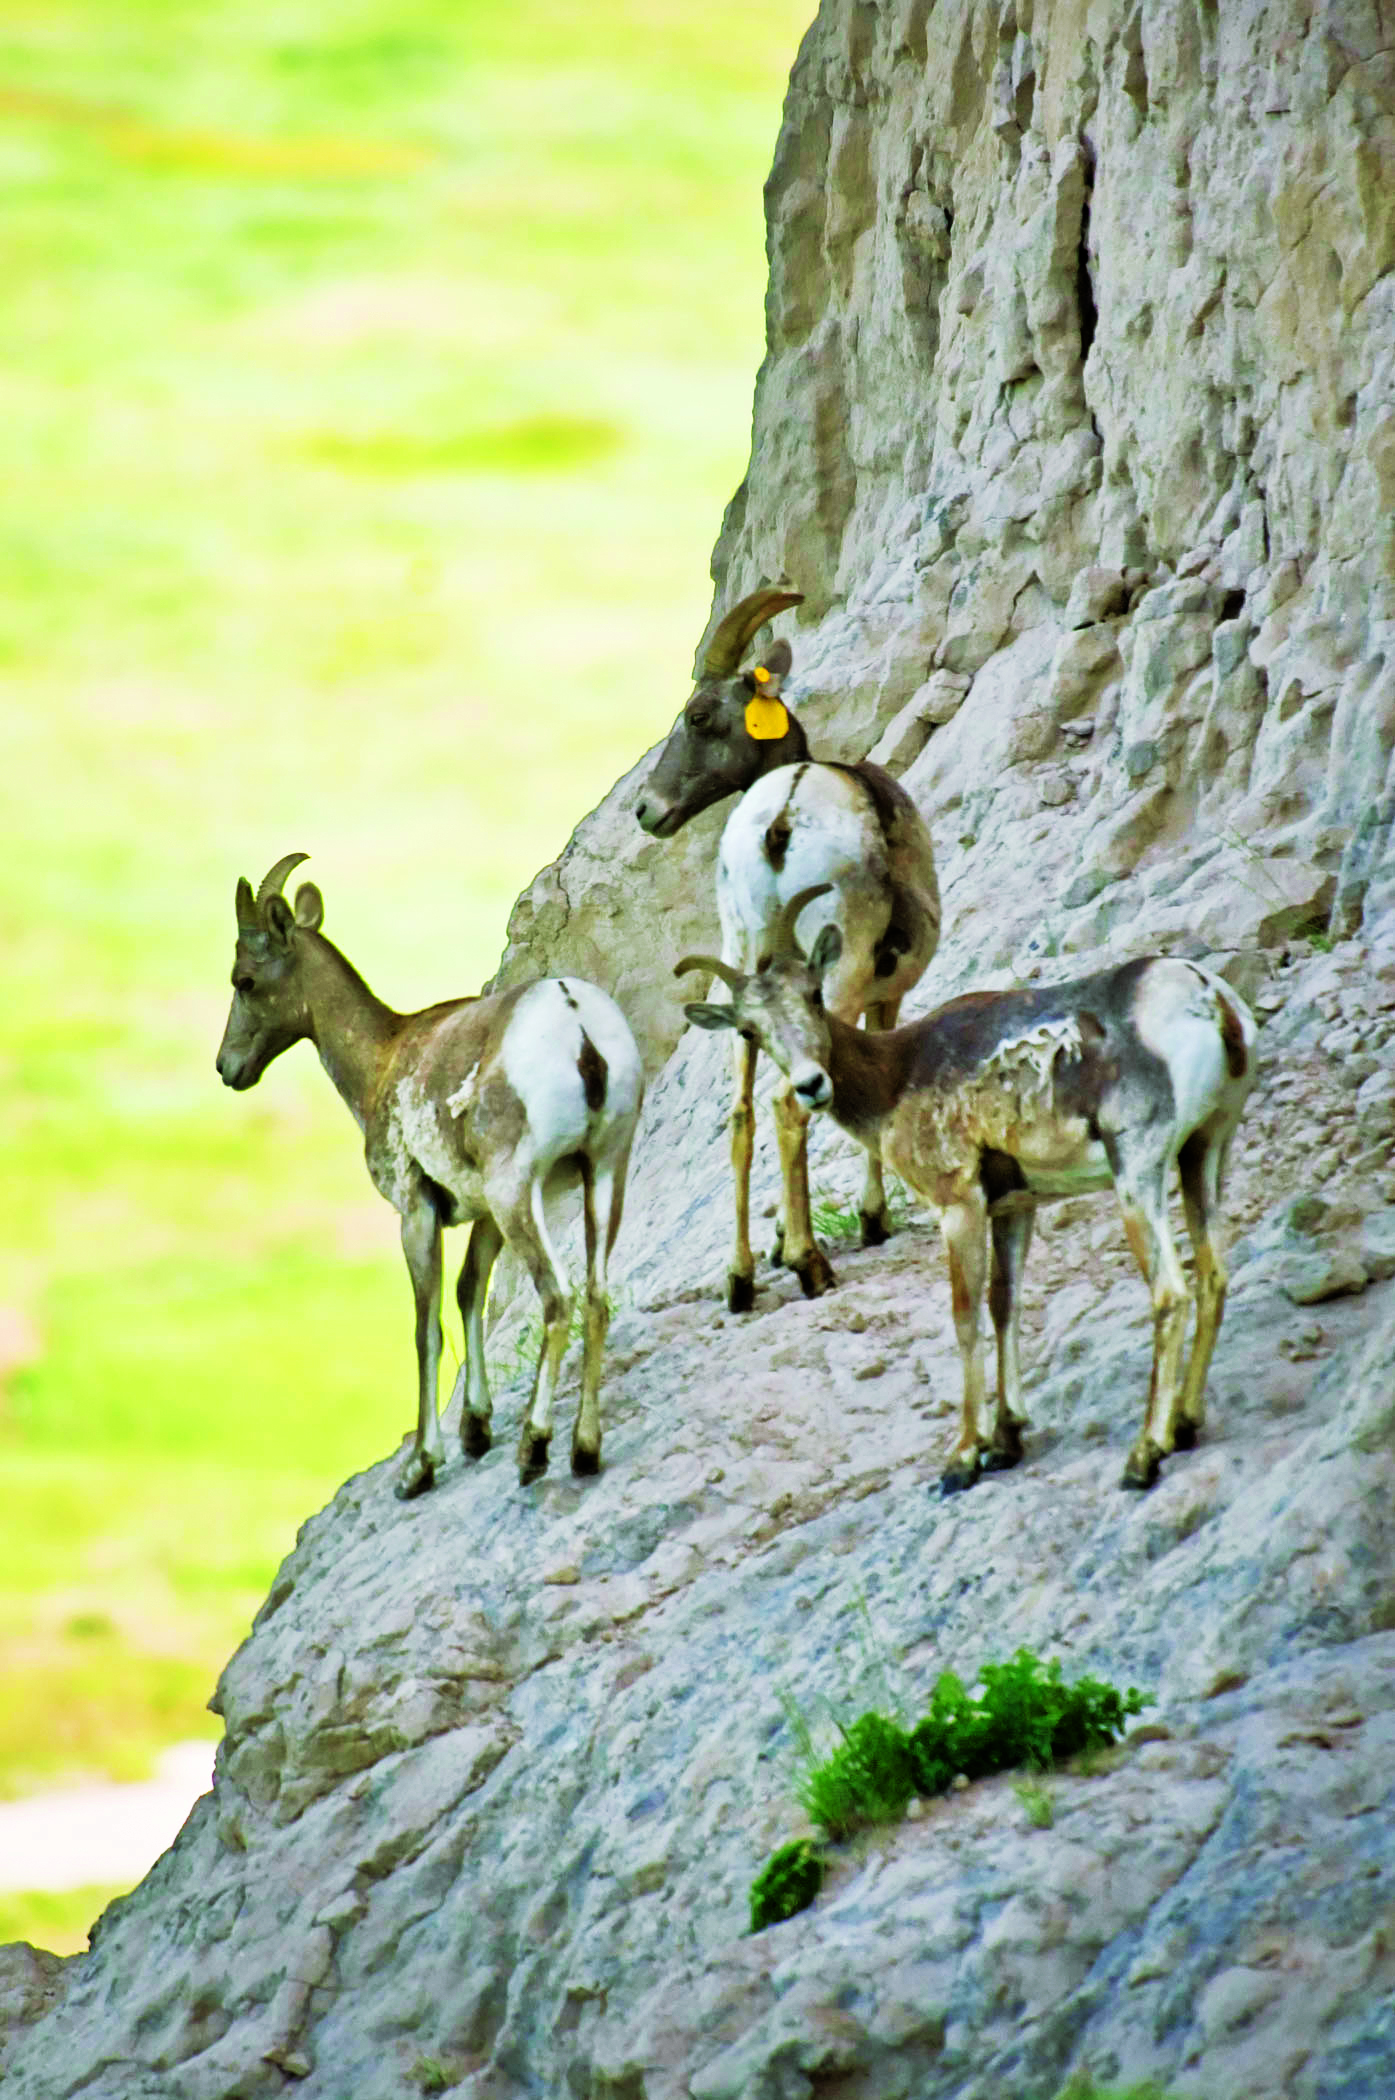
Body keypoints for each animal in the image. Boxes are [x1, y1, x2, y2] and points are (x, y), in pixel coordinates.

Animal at [216, 852, 642, 1495]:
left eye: (244, 980)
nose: (227, 1067)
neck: (382, 1060)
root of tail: (578, 1027)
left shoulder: (417, 1210)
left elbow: (426, 1326)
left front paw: (421, 1465)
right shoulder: (482, 1214)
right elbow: (468, 1294)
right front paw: (475, 1430)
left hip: (519, 1192)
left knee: (558, 1297)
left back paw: (534, 1449)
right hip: (604, 1174)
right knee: (595, 1296)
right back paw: (585, 1451)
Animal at [680, 886, 1260, 1495]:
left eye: (814, 995)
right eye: (749, 1030)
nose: (812, 1085)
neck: (896, 1075)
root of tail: (1210, 1000)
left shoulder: (958, 1206)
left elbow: (964, 1317)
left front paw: (963, 1456)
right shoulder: (1013, 1209)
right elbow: (1004, 1304)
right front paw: (1006, 1440)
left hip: (1139, 1173)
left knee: (1171, 1292)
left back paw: (1144, 1455)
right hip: (1205, 1153)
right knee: (1213, 1275)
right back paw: (1186, 1424)